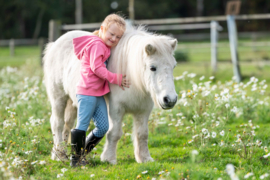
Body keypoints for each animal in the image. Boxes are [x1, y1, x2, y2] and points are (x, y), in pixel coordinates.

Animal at [43, 25, 178, 165]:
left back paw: (63, 154)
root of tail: (55, 44)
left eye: (173, 66)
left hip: (72, 103)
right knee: (57, 123)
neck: (133, 77)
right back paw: (59, 154)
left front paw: (145, 158)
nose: (170, 99)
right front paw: (109, 158)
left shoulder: (143, 111)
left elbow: (142, 134)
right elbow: (114, 133)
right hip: (58, 98)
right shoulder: (116, 109)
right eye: (152, 67)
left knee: (67, 125)